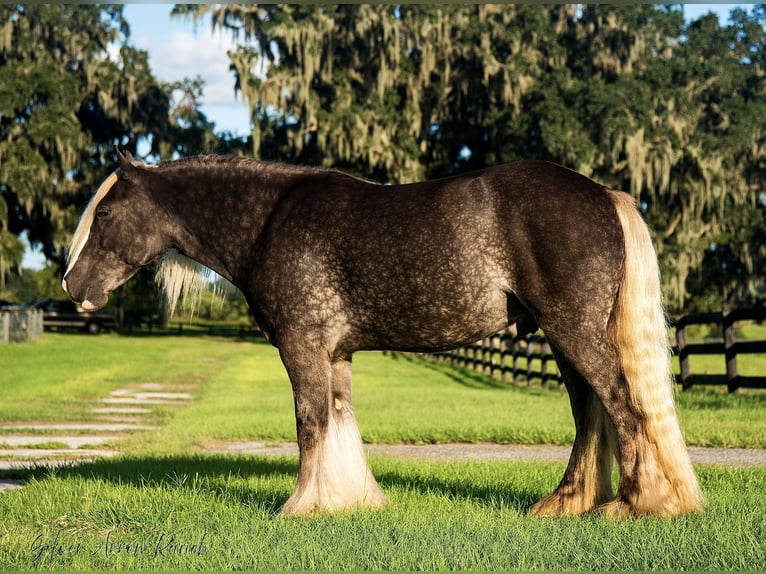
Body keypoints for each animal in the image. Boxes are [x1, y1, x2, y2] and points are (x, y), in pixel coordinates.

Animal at [63, 151, 704, 520]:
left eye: (105, 213)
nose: (73, 286)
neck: (269, 220)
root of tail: (606, 194)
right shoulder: (336, 354)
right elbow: (340, 419)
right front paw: (349, 501)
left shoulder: (302, 347)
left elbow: (310, 422)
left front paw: (299, 507)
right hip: (565, 337)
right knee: (590, 415)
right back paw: (566, 504)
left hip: (573, 331)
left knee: (623, 408)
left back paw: (632, 507)